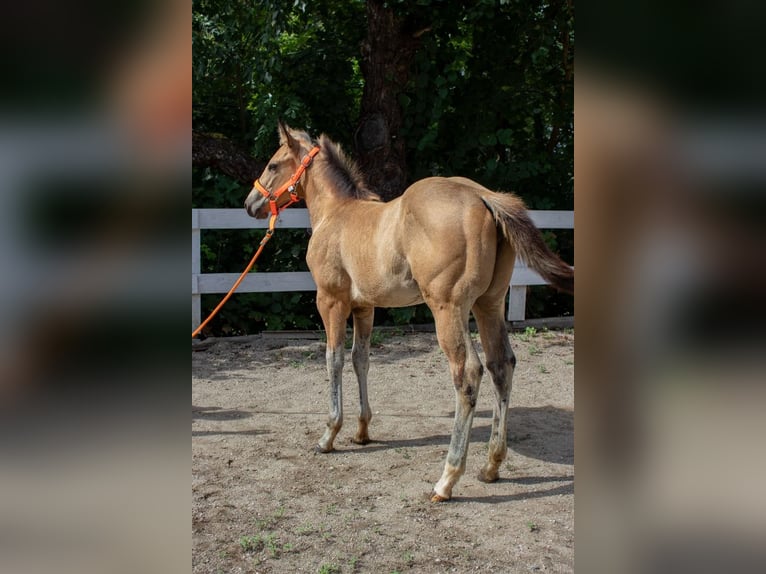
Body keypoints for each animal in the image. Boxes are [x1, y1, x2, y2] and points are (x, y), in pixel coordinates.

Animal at [243, 124, 572, 502]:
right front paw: (362, 430)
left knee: (468, 374)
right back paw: (490, 466)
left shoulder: (330, 301)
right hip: (487, 304)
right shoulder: (365, 307)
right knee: (501, 365)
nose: (250, 204)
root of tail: (482, 196)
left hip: (448, 308)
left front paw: (329, 435)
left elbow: (333, 359)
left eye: (272, 164)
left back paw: (447, 479)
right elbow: (360, 359)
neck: (336, 213)